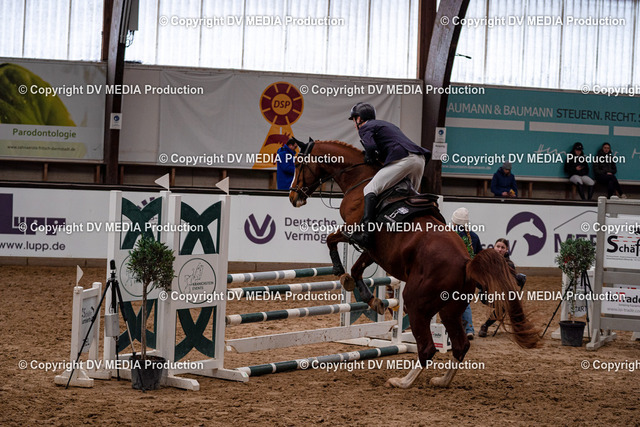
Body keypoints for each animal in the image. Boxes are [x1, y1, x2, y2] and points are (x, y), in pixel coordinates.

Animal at [289, 140, 540, 389]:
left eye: (299, 163)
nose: (293, 197)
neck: (360, 179)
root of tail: (466, 263)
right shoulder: (374, 250)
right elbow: (357, 269)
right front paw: (373, 300)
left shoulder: (353, 231)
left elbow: (332, 242)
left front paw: (340, 273)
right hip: (450, 310)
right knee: (460, 345)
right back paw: (442, 380)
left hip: (415, 302)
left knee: (427, 347)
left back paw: (403, 382)